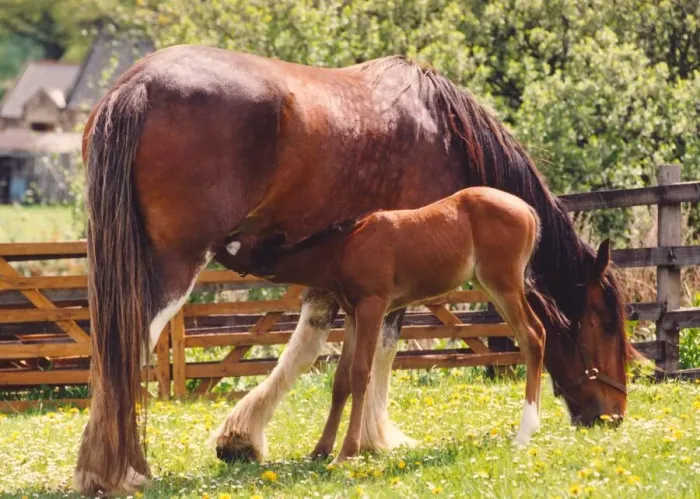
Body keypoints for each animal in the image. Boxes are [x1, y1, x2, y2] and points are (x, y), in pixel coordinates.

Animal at [215, 186, 571, 461]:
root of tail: (528, 210)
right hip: (493, 286)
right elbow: (341, 381)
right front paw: (321, 449)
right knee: (533, 336)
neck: (343, 247)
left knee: (532, 335)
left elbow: (361, 375)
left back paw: (525, 432)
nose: (216, 244)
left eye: (237, 243)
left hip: (503, 284)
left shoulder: (373, 306)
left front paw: (347, 453)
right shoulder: (353, 315)